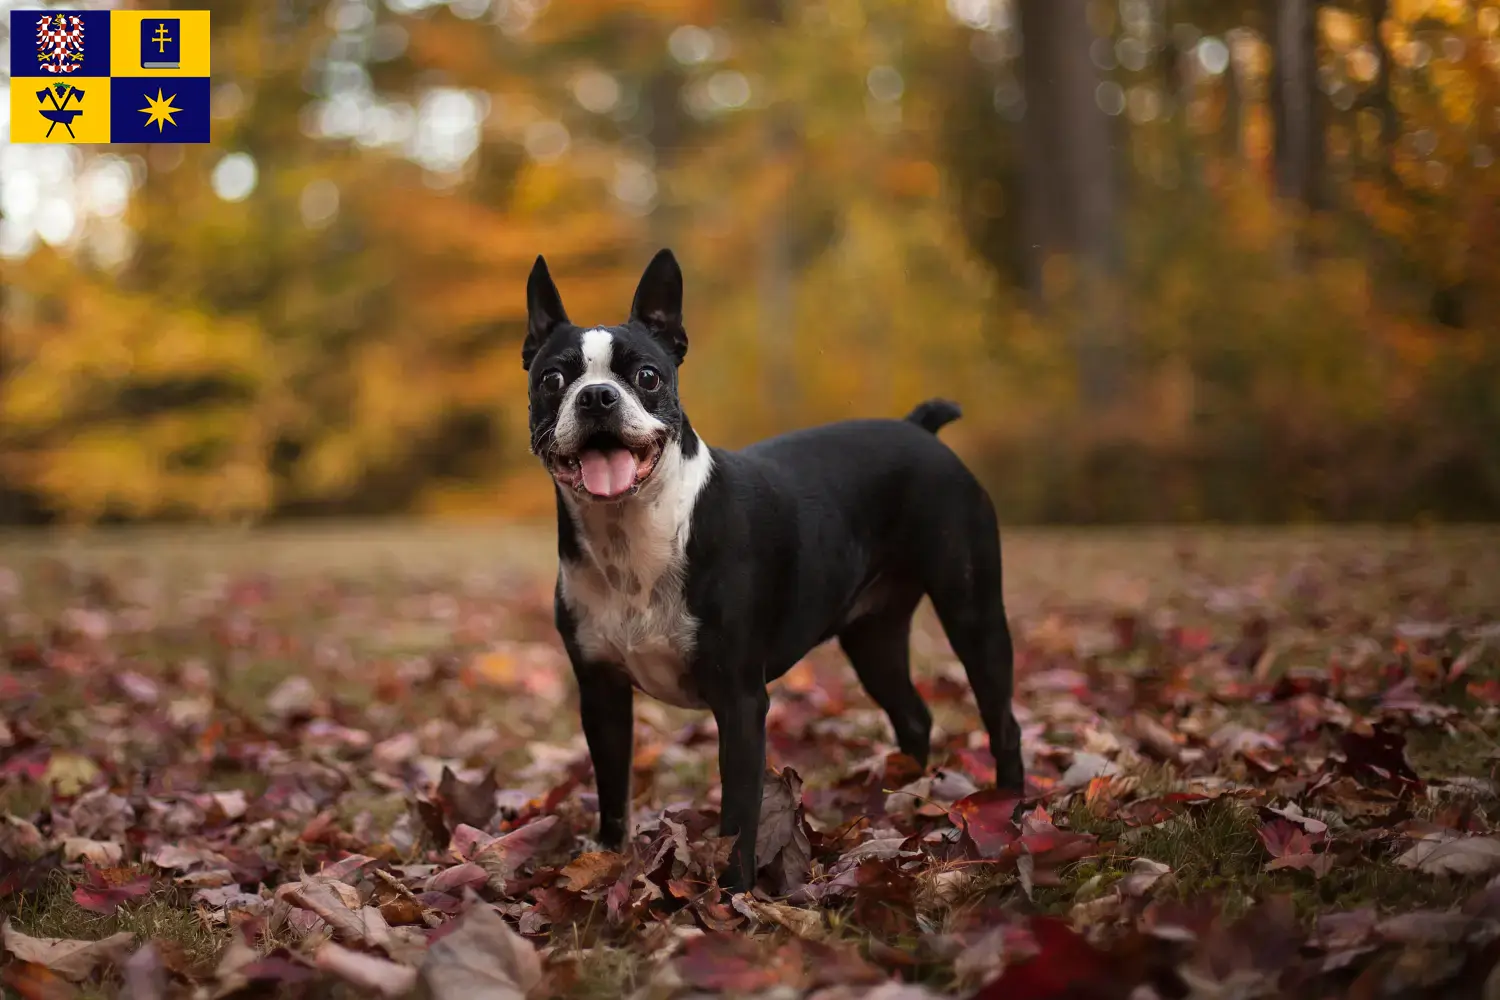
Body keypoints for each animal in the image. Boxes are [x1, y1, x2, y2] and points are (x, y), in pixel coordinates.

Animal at [522, 248, 1026, 893]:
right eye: (553, 380)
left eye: (647, 377)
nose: (597, 397)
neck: (631, 537)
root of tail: (918, 428)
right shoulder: (601, 693)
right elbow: (613, 793)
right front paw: (607, 863)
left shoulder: (740, 701)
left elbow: (740, 813)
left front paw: (733, 895)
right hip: (873, 636)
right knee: (912, 715)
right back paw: (897, 806)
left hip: (972, 612)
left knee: (1001, 718)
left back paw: (1009, 813)